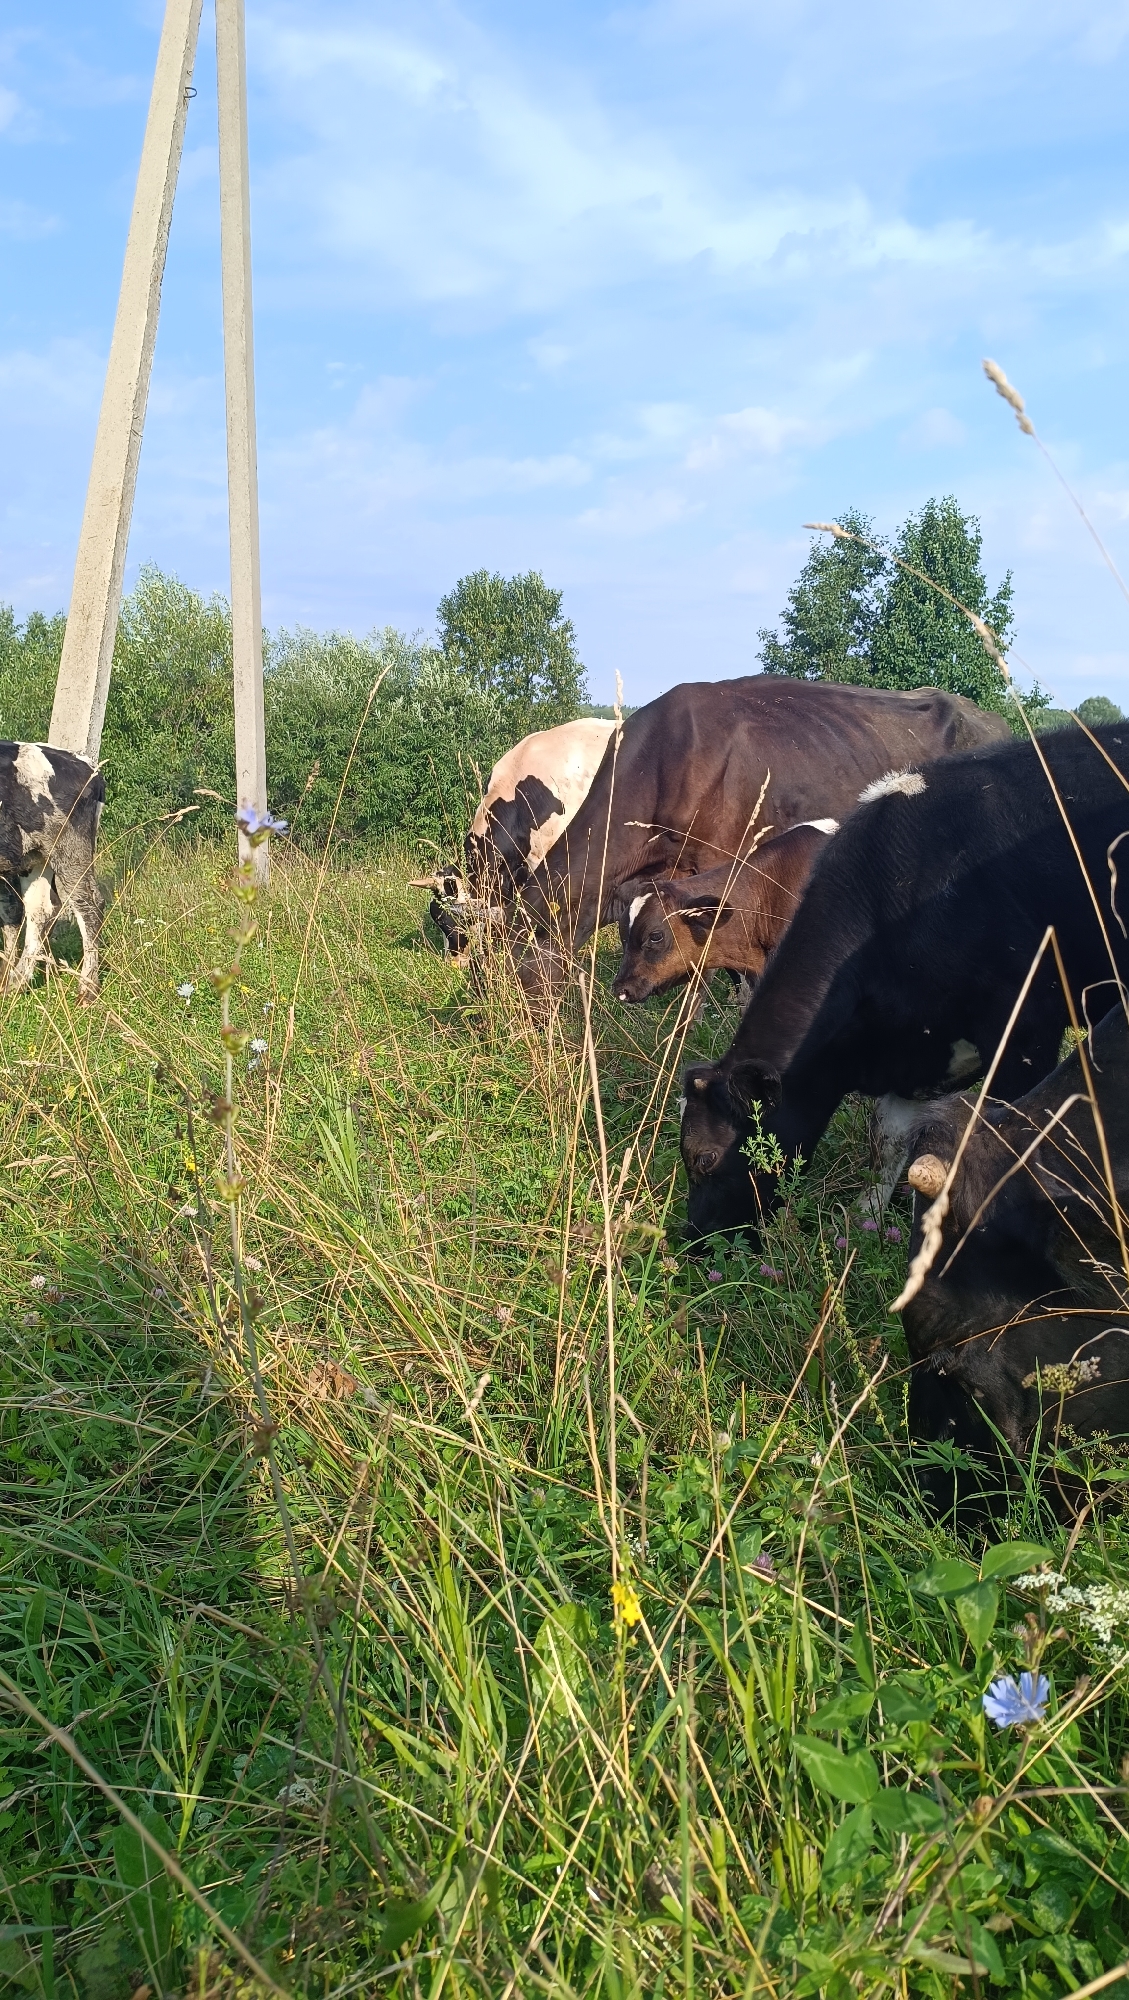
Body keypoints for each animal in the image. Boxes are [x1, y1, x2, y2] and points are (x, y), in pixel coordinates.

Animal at [0, 743, 105, 1001]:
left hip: (69, 848)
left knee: (89, 906)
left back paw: (88, 988)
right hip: (35, 858)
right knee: (39, 910)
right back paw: (14, 981)